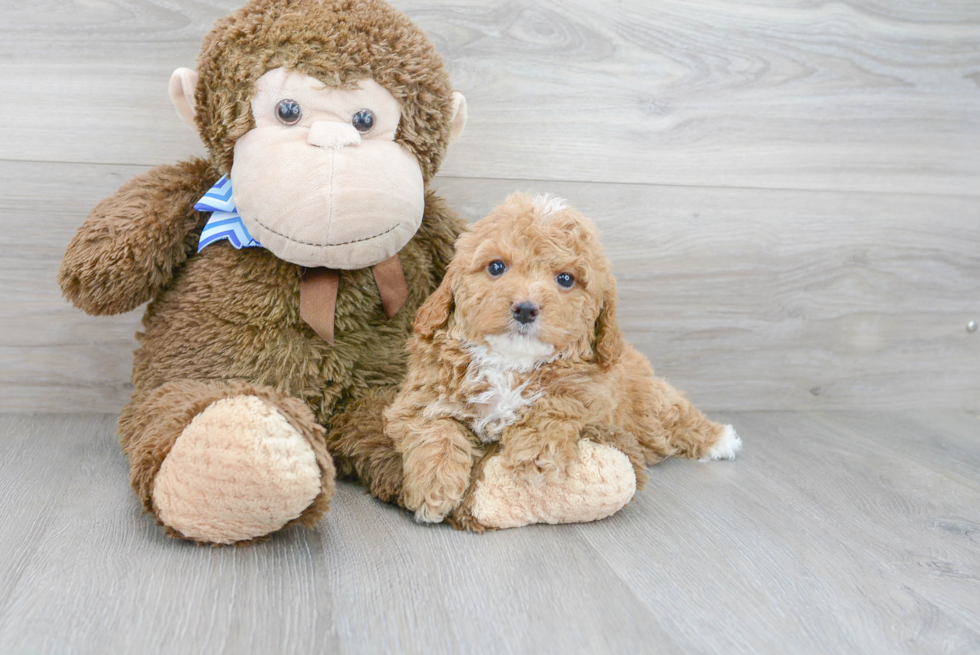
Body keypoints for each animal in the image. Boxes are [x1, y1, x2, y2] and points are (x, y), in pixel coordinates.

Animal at [386, 192, 740, 524]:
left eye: (566, 279)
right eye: (496, 267)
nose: (525, 308)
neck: (511, 362)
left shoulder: (591, 392)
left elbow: (557, 402)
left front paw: (535, 455)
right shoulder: (420, 397)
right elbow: (434, 428)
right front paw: (434, 488)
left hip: (647, 405)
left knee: (673, 414)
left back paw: (721, 439)